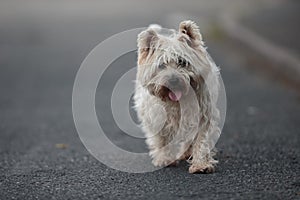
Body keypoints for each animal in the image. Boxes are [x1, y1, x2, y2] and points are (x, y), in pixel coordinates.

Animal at [134, 20, 220, 173]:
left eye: (182, 62)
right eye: (161, 66)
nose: (173, 80)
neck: (177, 102)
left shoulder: (204, 116)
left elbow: (202, 140)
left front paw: (200, 165)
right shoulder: (158, 117)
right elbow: (161, 140)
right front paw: (164, 159)